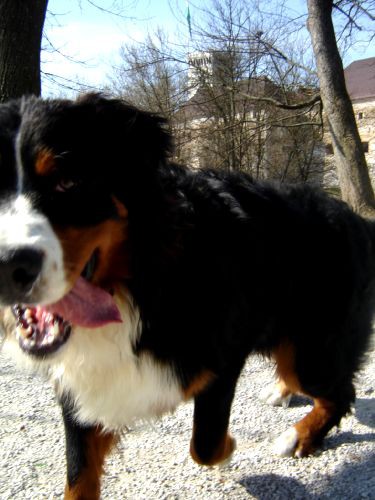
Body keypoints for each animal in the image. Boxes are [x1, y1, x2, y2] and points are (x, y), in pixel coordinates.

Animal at [0, 93, 374, 496]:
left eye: (68, 182)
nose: (8, 266)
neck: (138, 285)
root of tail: (355, 218)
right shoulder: (78, 384)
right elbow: (79, 476)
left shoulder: (222, 360)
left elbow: (205, 445)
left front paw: (230, 448)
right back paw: (281, 392)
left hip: (313, 350)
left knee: (339, 393)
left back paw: (298, 436)